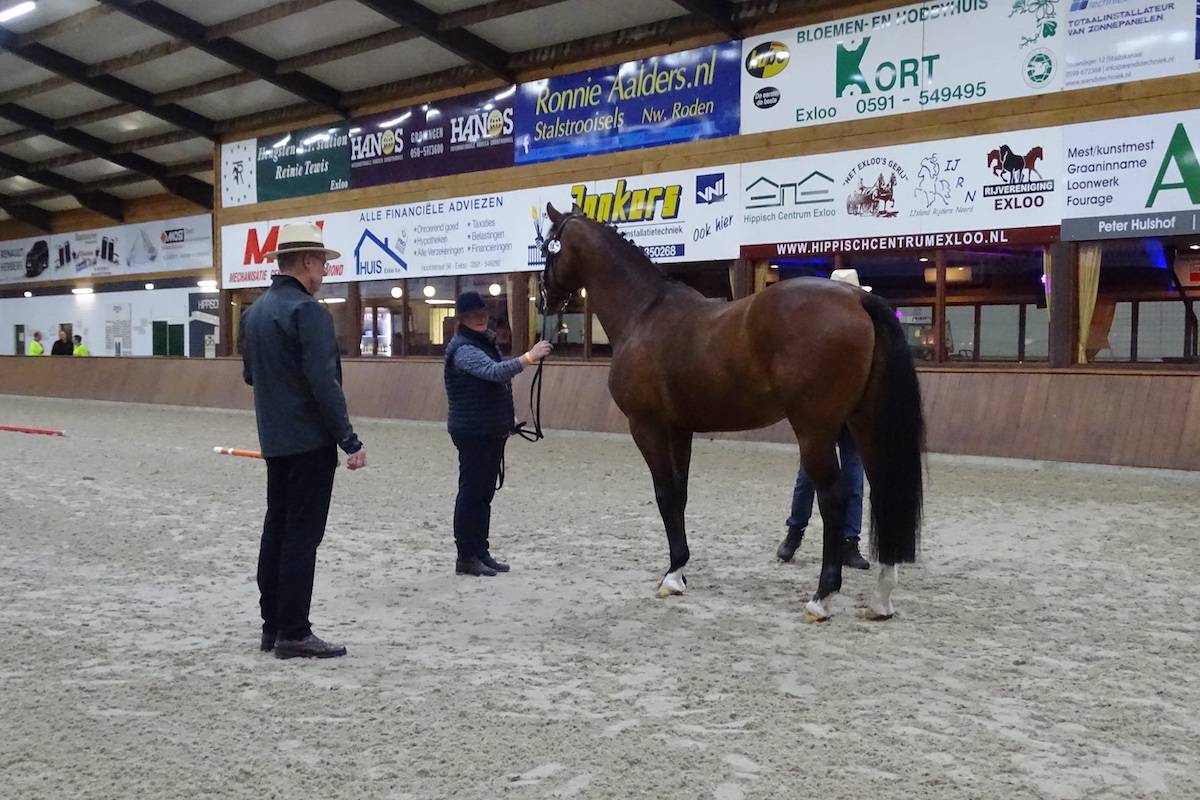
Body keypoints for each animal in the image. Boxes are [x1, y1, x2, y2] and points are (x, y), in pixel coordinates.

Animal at [539, 203, 925, 621]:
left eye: (547, 248)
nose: (544, 299)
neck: (643, 313)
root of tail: (856, 299)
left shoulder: (647, 427)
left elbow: (664, 495)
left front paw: (671, 575)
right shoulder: (681, 430)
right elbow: (680, 494)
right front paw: (680, 572)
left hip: (816, 430)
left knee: (833, 498)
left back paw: (822, 596)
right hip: (864, 423)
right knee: (884, 491)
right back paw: (881, 598)